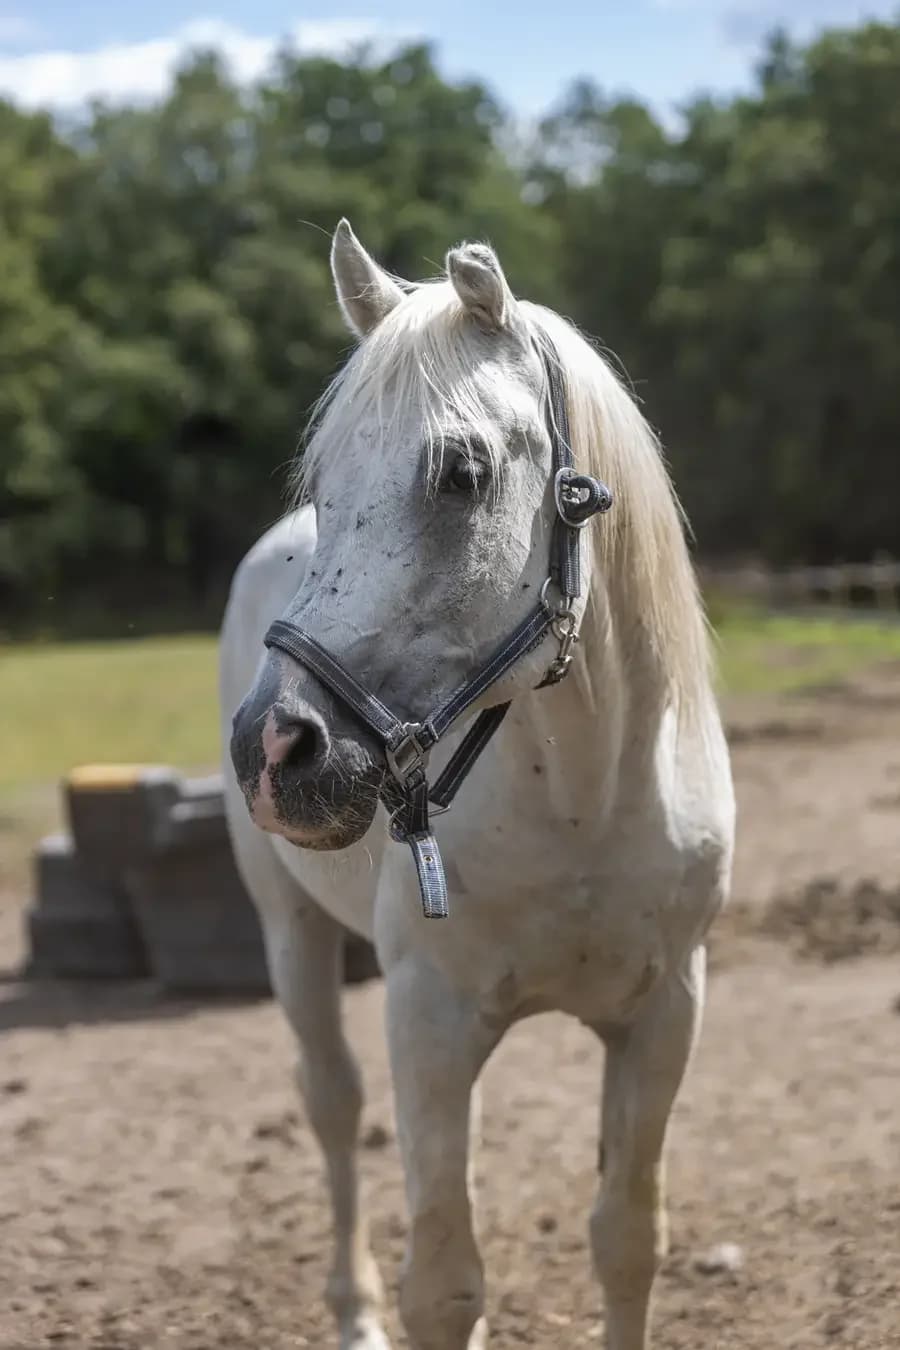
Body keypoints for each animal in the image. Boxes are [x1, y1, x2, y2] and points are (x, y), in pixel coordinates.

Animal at [220, 219, 735, 1350]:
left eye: (461, 471)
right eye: (323, 483)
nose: (276, 748)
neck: (584, 795)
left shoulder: (665, 1014)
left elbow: (627, 1241)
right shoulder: (428, 1016)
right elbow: (444, 1286)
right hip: (290, 929)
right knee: (332, 1105)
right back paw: (354, 1313)